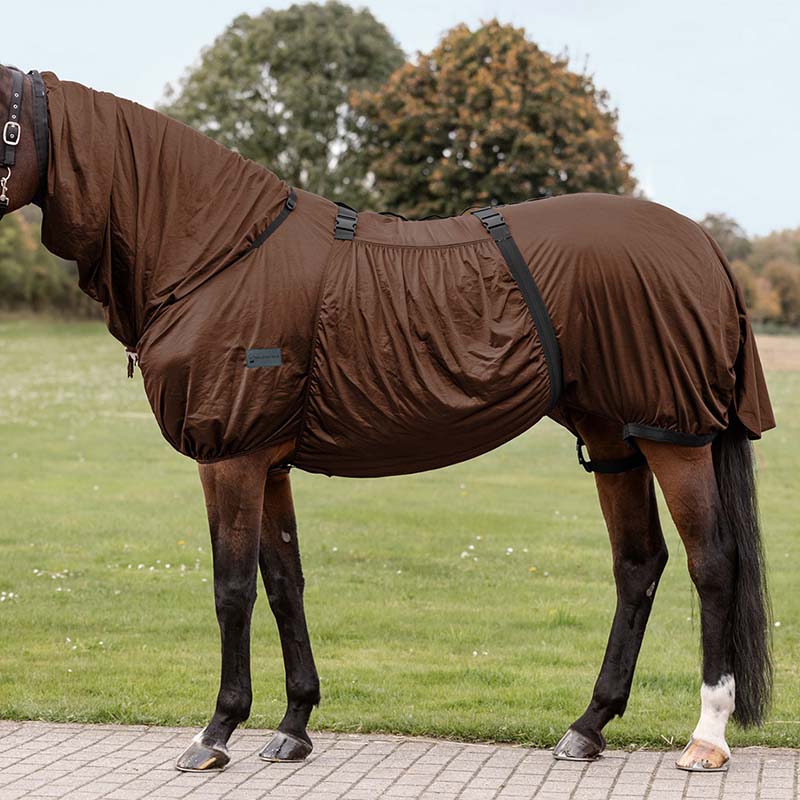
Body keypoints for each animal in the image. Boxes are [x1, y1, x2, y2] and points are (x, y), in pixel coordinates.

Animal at [0, 65, 774, 774]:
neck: (219, 251)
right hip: (615, 440)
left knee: (713, 564)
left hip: (675, 437)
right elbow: (284, 584)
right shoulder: (267, 462)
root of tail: (702, 242)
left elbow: (232, 589)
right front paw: (294, 725)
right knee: (638, 565)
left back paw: (706, 737)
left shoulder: (230, 457)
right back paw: (587, 726)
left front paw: (216, 733)